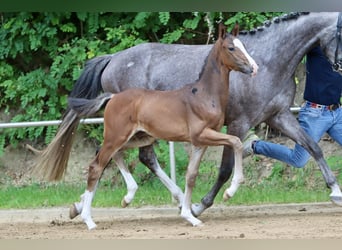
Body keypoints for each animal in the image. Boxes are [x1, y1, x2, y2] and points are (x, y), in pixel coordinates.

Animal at [68, 23, 258, 230]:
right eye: (231, 48)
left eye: (244, 46)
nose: (254, 68)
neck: (205, 95)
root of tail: (112, 97)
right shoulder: (201, 135)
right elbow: (236, 141)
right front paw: (230, 191)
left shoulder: (200, 143)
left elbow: (191, 176)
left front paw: (190, 216)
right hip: (117, 136)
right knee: (97, 166)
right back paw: (89, 219)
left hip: (139, 137)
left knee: (115, 155)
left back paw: (125, 197)